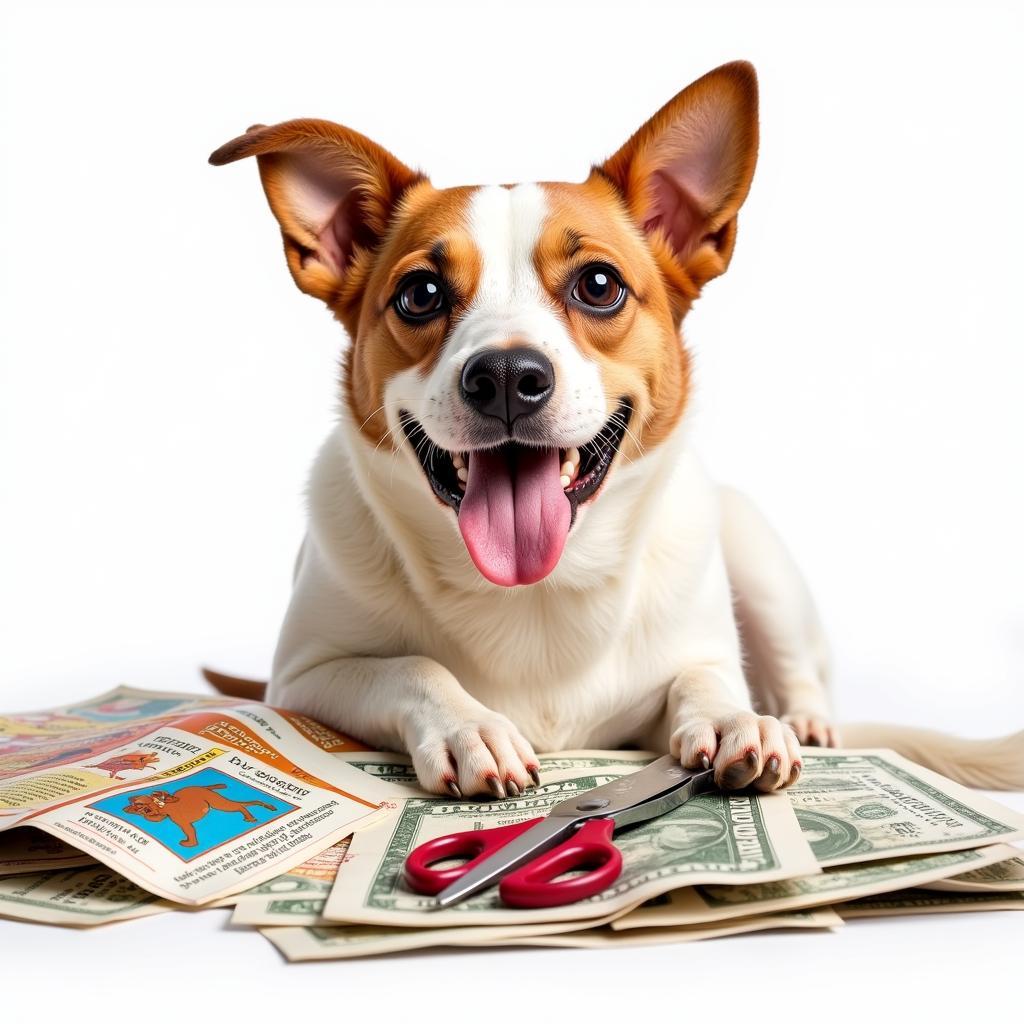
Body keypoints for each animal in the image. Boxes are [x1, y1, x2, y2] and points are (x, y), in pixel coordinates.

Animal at [121, 782, 278, 847]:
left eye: (139, 805)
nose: (126, 808)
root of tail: (204, 787)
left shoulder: (181, 821)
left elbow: (189, 830)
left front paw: (190, 844)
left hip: (217, 802)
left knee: (239, 806)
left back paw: (250, 817)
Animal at [209, 61, 1024, 798]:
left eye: (598, 285)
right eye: (421, 293)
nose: (506, 375)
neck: (536, 591)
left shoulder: (696, 652)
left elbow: (704, 677)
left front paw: (732, 717)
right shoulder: (303, 681)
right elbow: (413, 667)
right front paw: (470, 726)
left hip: (755, 549)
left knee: (801, 674)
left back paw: (808, 724)